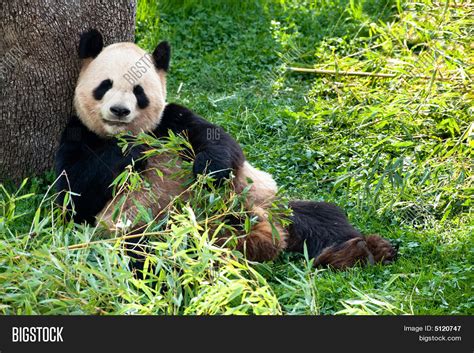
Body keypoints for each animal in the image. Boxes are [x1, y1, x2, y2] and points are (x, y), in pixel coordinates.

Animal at [54, 29, 396, 270]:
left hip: (268, 200)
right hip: (147, 230)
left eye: (139, 92)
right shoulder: (77, 134)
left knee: (324, 218)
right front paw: (131, 151)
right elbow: (73, 193)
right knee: (150, 256)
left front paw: (208, 172)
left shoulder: (172, 121)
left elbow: (220, 142)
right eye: (105, 85)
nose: (120, 111)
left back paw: (361, 251)